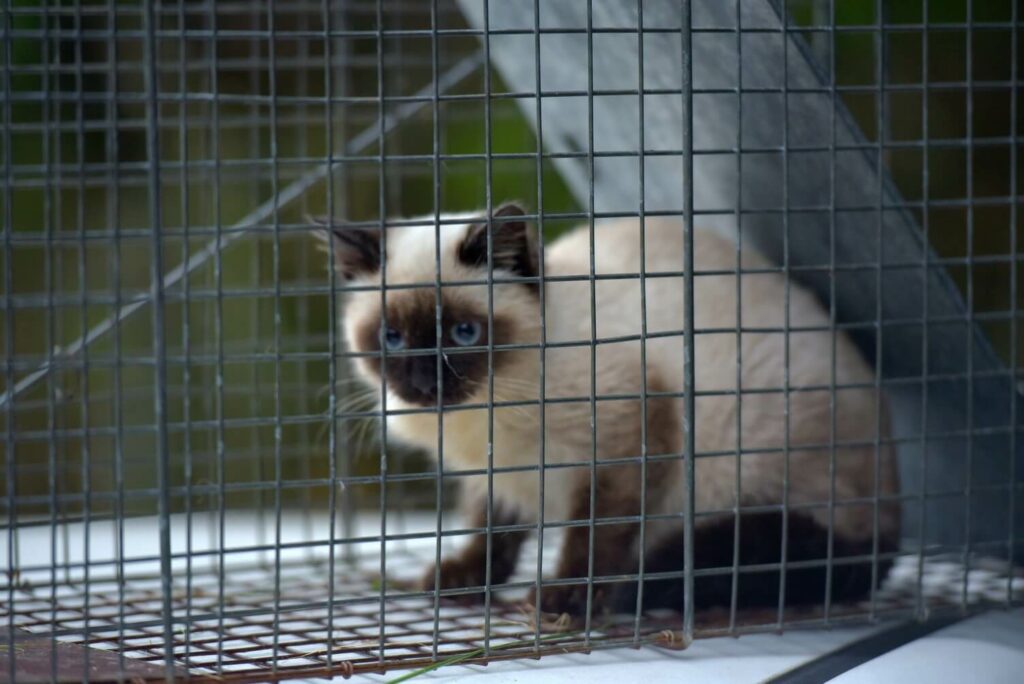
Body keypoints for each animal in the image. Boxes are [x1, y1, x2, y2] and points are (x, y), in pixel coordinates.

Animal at [317, 201, 897, 614]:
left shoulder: (624, 442)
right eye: (392, 338)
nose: (423, 383)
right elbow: (490, 531)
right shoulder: (500, 473)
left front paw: (566, 598)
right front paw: (464, 581)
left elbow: (593, 537)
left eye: (463, 333)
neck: (486, 410)